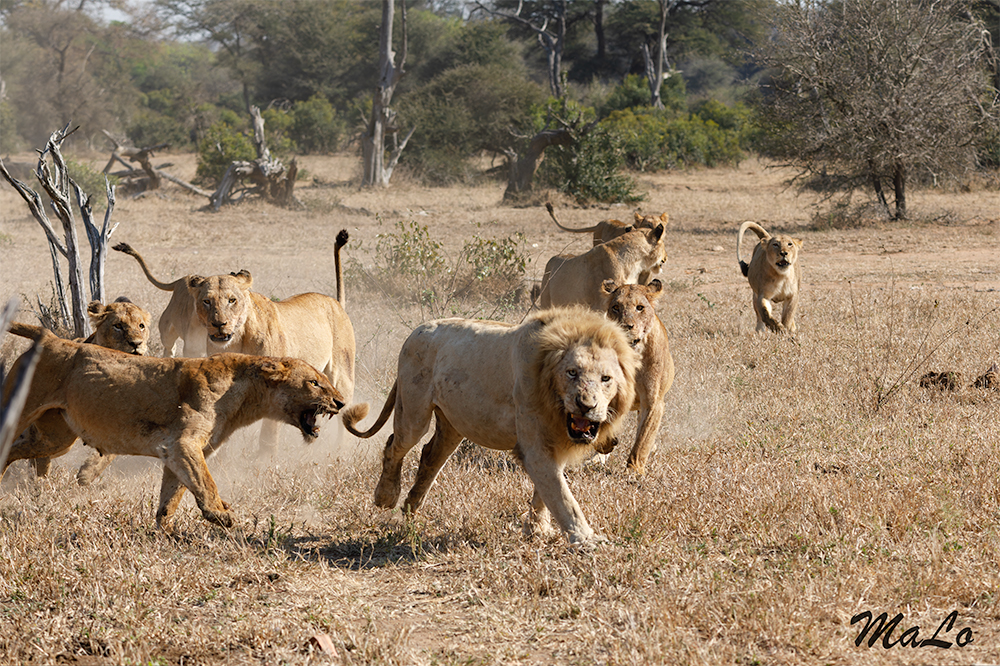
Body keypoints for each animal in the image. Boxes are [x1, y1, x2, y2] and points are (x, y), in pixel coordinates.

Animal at [3, 323, 345, 530]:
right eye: (315, 383)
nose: (341, 402)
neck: (245, 396)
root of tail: (49, 337)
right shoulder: (183, 444)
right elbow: (205, 482)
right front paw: (222, 514)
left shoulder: (176, 449)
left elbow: (173, 494)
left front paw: (163, 531)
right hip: (21, 412)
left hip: (56, 438)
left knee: (17, 449)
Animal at [341, 307, 638, 547]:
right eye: (572, 373)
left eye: (606, 379)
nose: (586, 405)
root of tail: (417, 329)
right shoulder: (534, 445)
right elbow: (562, 496)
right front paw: (585, 539)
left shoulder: (555, 442)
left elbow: (546, 492)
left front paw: (537, 530)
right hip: (413, 412)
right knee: (394, 446)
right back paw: (386, 497)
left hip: (453, 426)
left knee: (429, 456)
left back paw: (412, 507)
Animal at [601, 279, 675, 475]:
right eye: (616, 307)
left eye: (640, 307)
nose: (626, 326)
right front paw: (606, 443)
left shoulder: (653, 401)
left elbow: (643, 439)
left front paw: (634, 470)